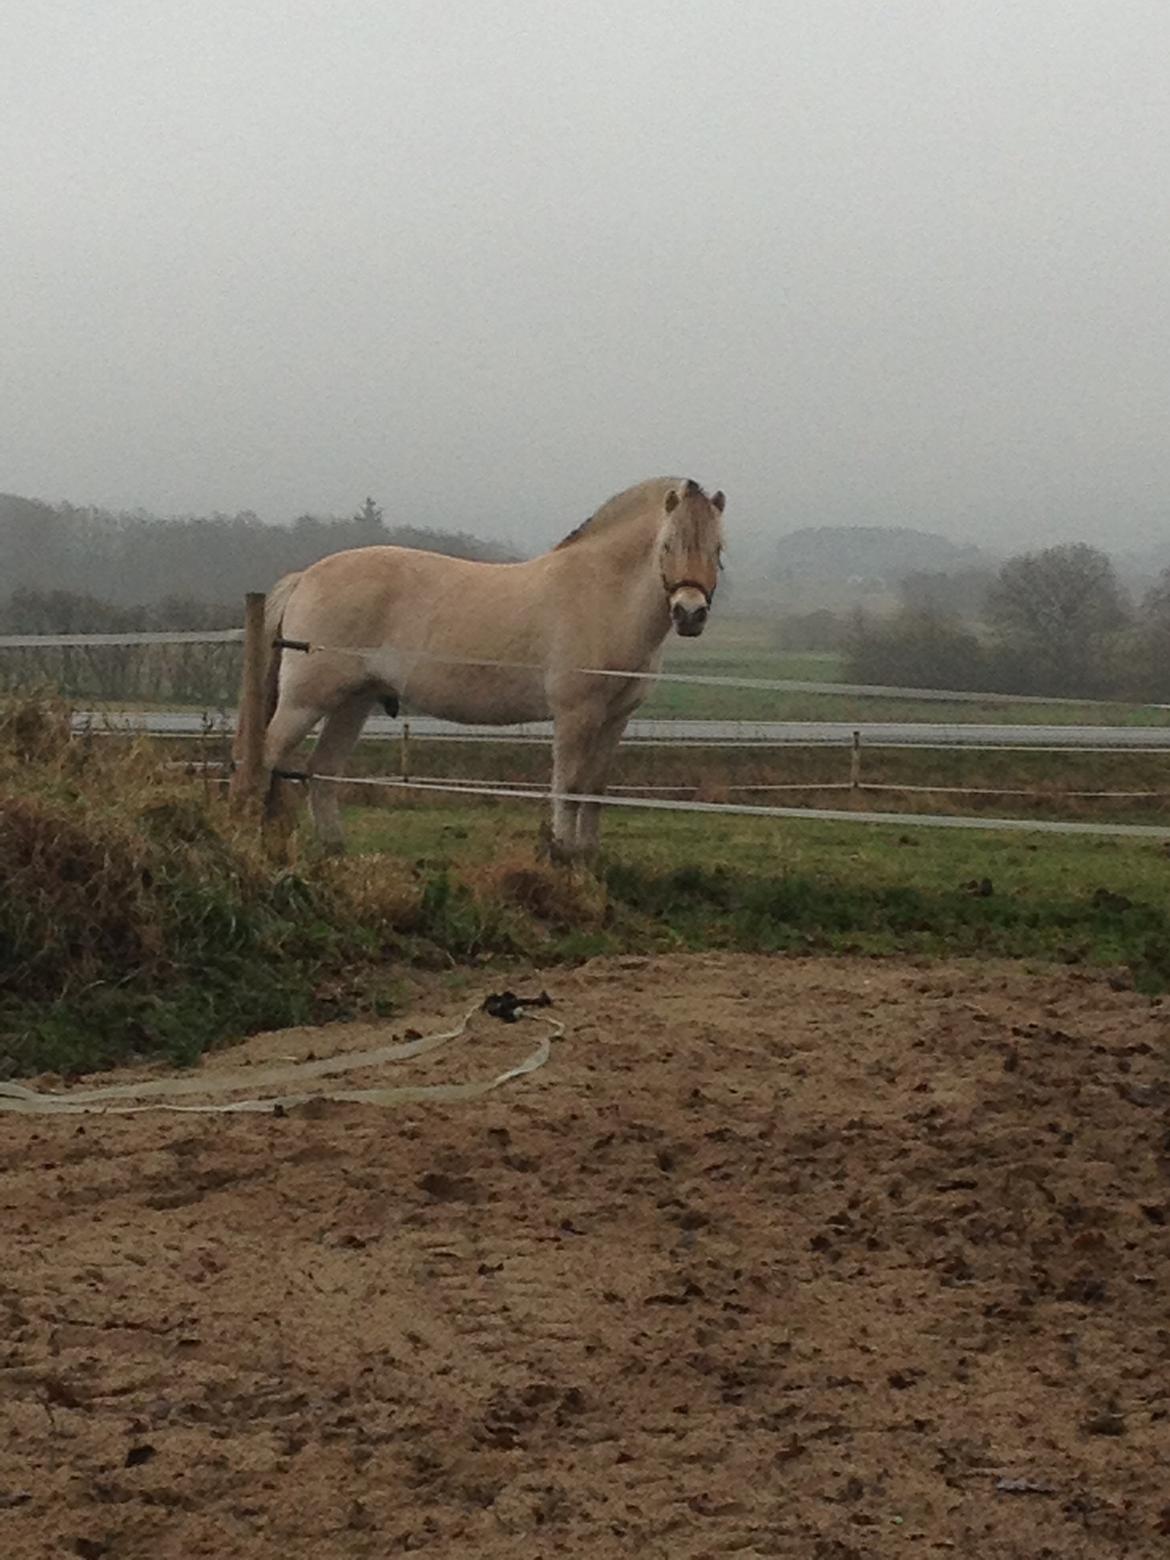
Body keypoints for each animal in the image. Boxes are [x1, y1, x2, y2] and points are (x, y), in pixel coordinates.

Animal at [260, 480, 730, 861]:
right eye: (667, 546)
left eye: (718, 550)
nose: (690, 614)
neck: (602, 594)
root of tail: (305, 577)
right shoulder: (576, 714)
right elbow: (568, 786)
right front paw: (561, 854)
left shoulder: (616, 718)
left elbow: (594, 790)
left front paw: (588, 855)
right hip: (306, 700)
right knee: (268, 755)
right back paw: (261, 834)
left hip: (353, 703)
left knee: (322, 770)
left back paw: (333, 848)